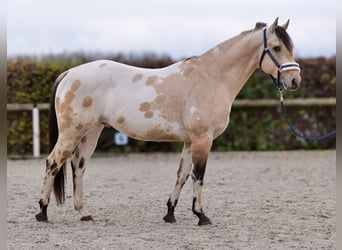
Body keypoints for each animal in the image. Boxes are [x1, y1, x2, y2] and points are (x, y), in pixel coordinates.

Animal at [35, 17, 302, 225]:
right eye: (276, 47)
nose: (295, 81)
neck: (212, 77)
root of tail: (70, 73)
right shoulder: (203, 139)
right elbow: (198, 175)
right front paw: (201, 215)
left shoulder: (190, 141)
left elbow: (182, 175)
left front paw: (170, 213)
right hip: (72, 132)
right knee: (53, 162)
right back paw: (43, 212)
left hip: (92, 132)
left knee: (78, 166)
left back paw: (84, 213)